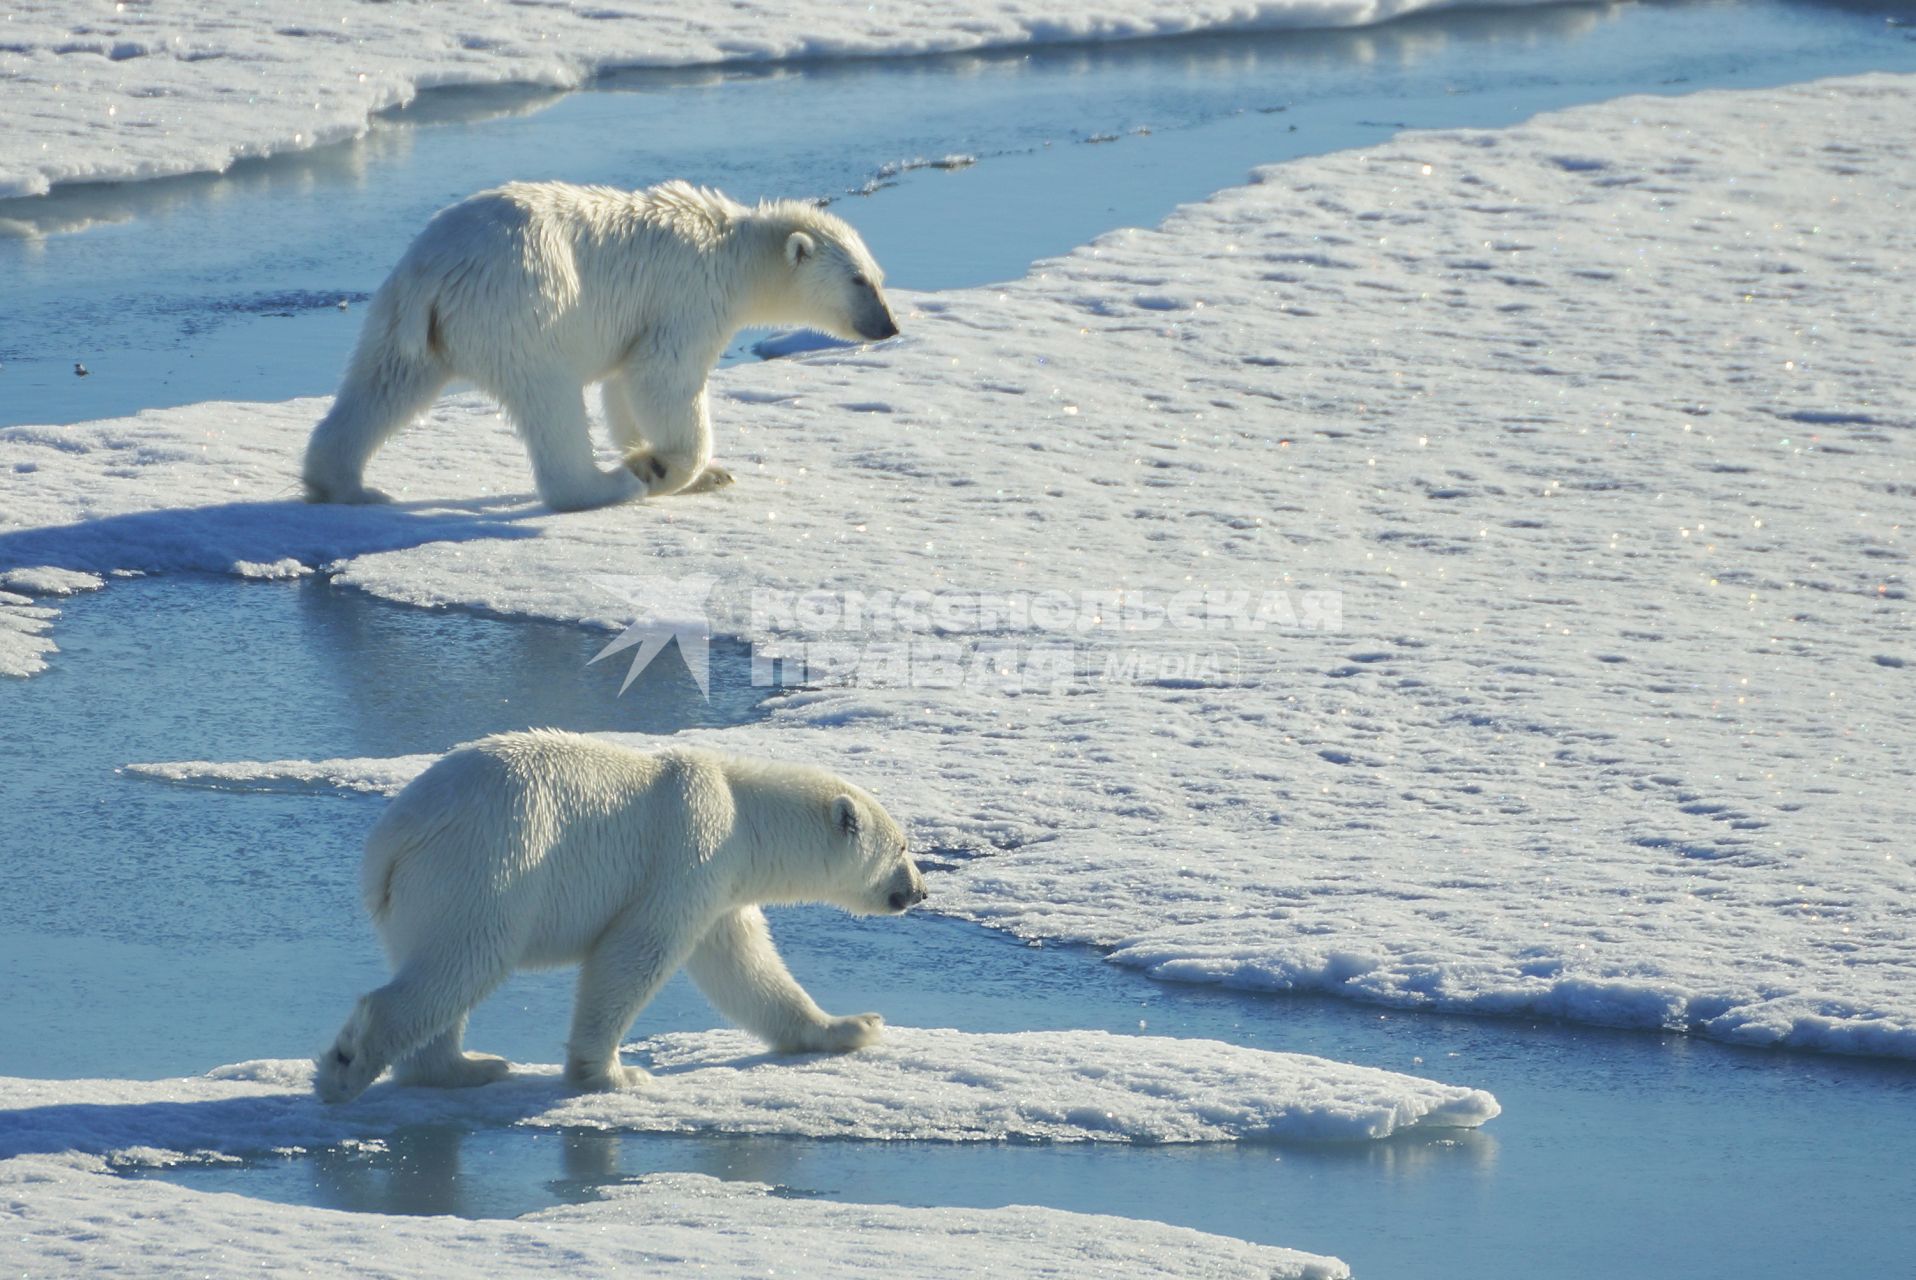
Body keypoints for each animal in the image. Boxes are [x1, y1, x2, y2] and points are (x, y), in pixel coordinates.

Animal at [298, 182, 896, 513]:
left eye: (879, 276)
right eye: (859, 281)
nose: (888, 327)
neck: (730, 249)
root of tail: (434, 270)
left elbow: (622, 387)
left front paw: (706, 472)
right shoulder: (687, 296)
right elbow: (661, 377)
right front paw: (660, 468)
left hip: (406, 320)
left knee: (382, 386)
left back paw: (349, 487)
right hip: (525, 305)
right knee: (550, 399)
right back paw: (607, 485)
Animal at [314, 728, 927, 1103]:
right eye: (901, 847)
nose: (920, 891)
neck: (742, 813)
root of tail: (394, 838)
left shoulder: (720, 887)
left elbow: (744, 965)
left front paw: (851, 1026)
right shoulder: (689, 850)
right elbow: (636, 951)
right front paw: (614, 1073)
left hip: (421, 895)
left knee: (439, 972)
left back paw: (466, 1067)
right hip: (487, 865)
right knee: (463, 959)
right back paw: (347, 1067)